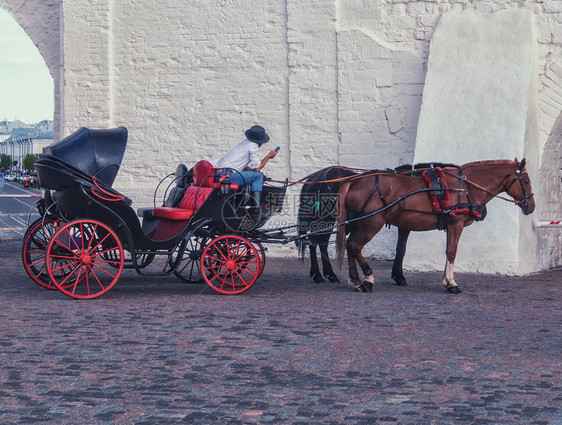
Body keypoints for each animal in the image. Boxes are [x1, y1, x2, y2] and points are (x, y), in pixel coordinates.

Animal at [332, 157, 532, 294]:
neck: (465, 187)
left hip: (360, 224)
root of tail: (355, 181)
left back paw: (355, 280)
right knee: (354, 246)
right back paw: (367, 278)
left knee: (350, 246)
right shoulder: (456, 224)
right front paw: (451, 283)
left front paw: (446, 280)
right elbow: (452, 252)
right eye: (527, 181)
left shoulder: (450, 225)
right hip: (371, 224)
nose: (531, 206)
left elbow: (447, 251)